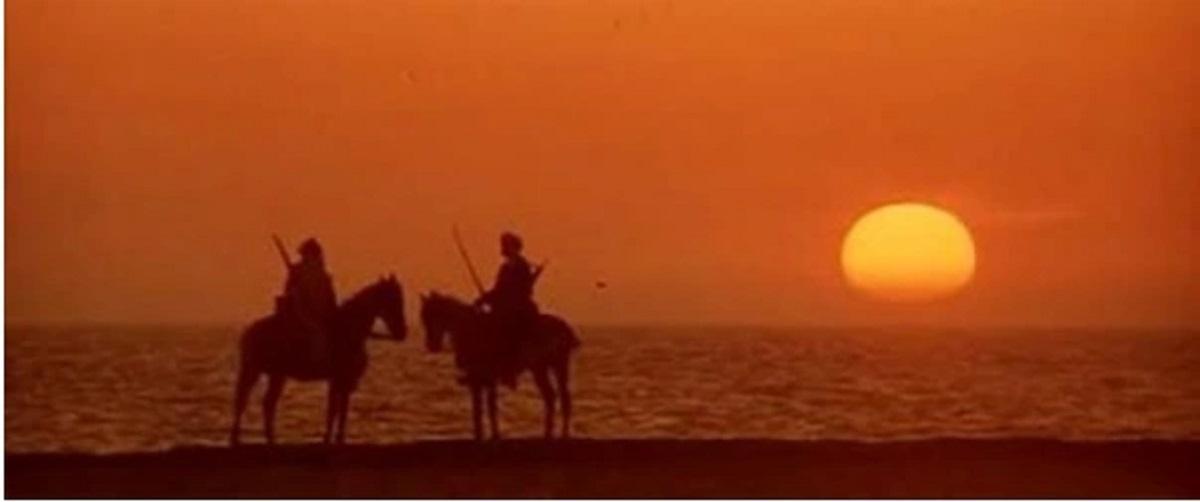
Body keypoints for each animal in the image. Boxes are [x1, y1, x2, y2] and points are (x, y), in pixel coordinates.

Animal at [229, 275, 408, 446]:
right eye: (393, 300)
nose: (402, 333)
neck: (347, 330)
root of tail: (249, 331)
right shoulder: (340, 380)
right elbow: (336, 411)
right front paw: (332, 439)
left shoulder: (341, 381)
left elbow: (337, 411)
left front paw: (333, 439)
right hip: (264, 371)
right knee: (253, 403)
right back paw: (250, 439)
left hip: (267, 372)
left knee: (255, 402)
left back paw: (257, 439)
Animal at [417, 291, 580, 441]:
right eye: (424, 318)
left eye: (434, 315)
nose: (432, 346)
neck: (472, 331)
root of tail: (565, 329)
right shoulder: (482, 381)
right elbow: (483, 409)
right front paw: (486, 435)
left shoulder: (483, 379)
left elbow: (486, 408)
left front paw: (489, 435)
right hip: (550, 367)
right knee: (557, 397)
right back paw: (553, 434)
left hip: (548, 367)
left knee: (557, 398)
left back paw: (555, 434)